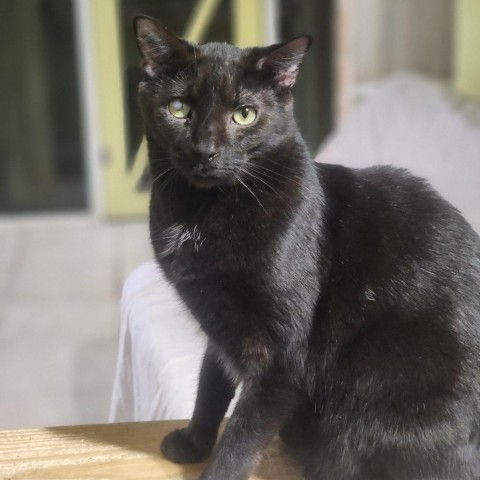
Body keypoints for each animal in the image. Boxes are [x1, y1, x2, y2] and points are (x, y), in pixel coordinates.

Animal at [133, 15, 480, 480]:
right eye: (179, 109)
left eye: (244, 114)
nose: (206, 151)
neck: (203, 212)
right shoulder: (221, 329)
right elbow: (210, 388)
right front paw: (192, 443)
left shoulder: (281, 357)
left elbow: (243, 434)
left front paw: (216, 469)